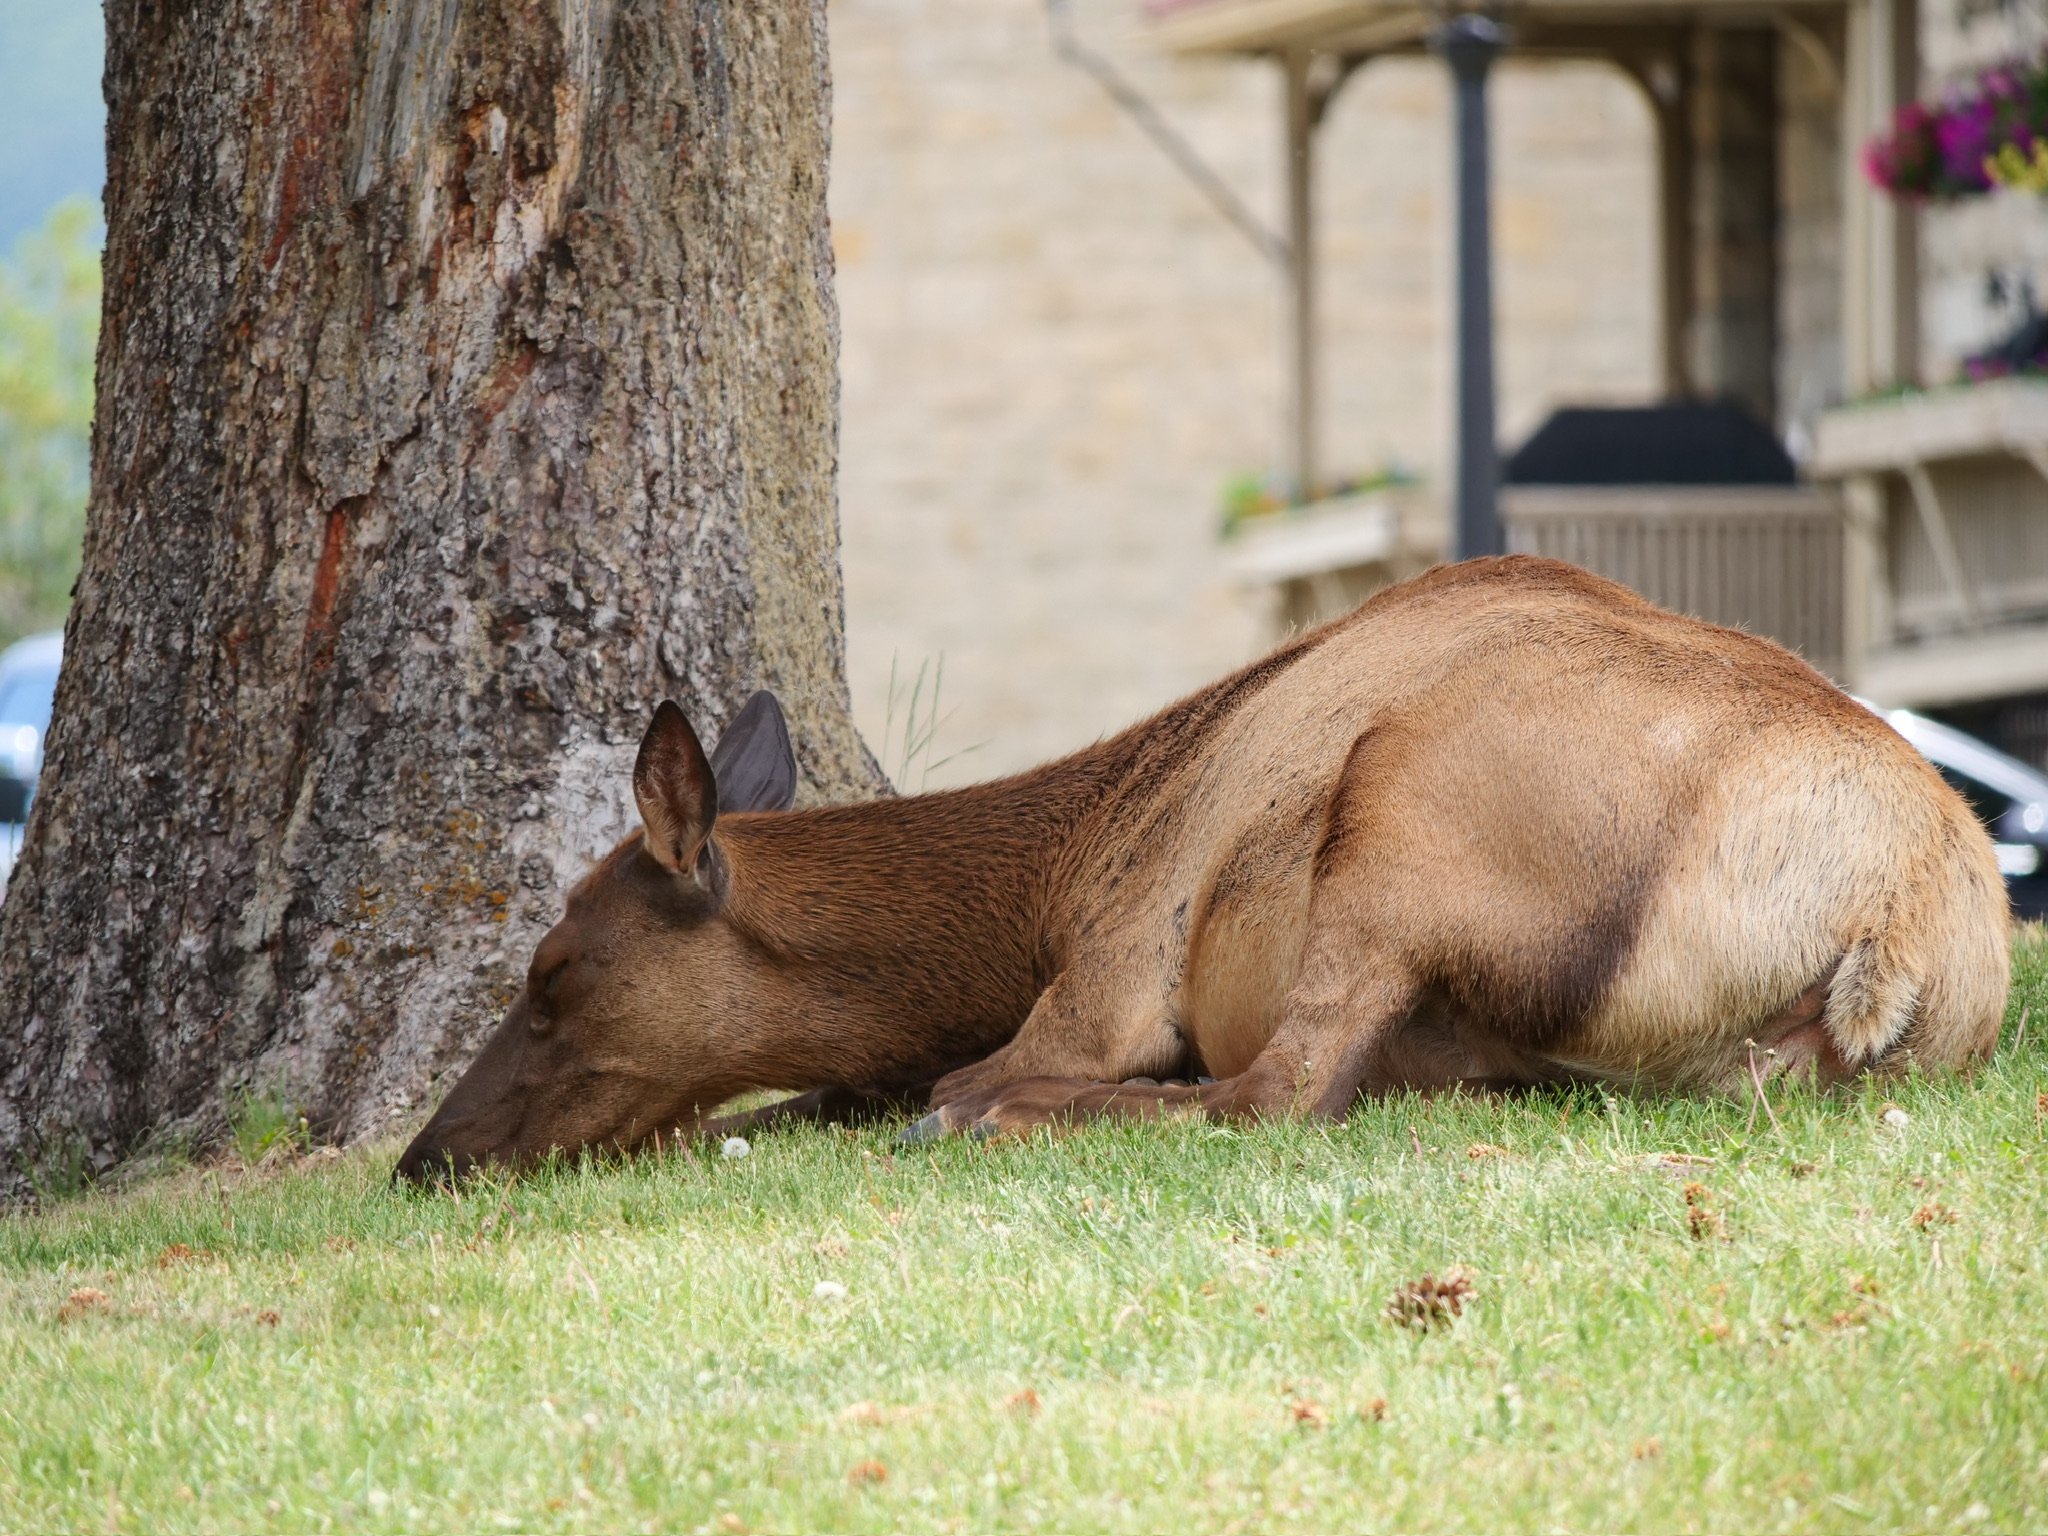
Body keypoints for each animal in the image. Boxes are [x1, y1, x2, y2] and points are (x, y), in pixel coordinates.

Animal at [393, 557, 2011, 1182]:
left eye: (552, 971)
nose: (423, 1158)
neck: (1041, 891)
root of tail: (1903, 926)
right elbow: (792, 1100)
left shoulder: (1106, 971)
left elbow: (895, 1081)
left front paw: (953, 1102)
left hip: (1405, 802)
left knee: (1271, 1095)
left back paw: (996, 1123)